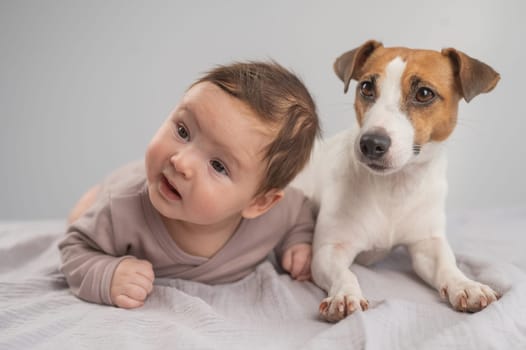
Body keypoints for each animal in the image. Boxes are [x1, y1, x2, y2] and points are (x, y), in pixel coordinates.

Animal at [292, 39, 504, 322]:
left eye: (424, 93)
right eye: (366, 87)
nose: (371, 143)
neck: (394, 186)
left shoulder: (428, 244)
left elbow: (447, 266)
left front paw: (467, 285)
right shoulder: (329, 250)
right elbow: (345, 274)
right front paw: (345, 295)